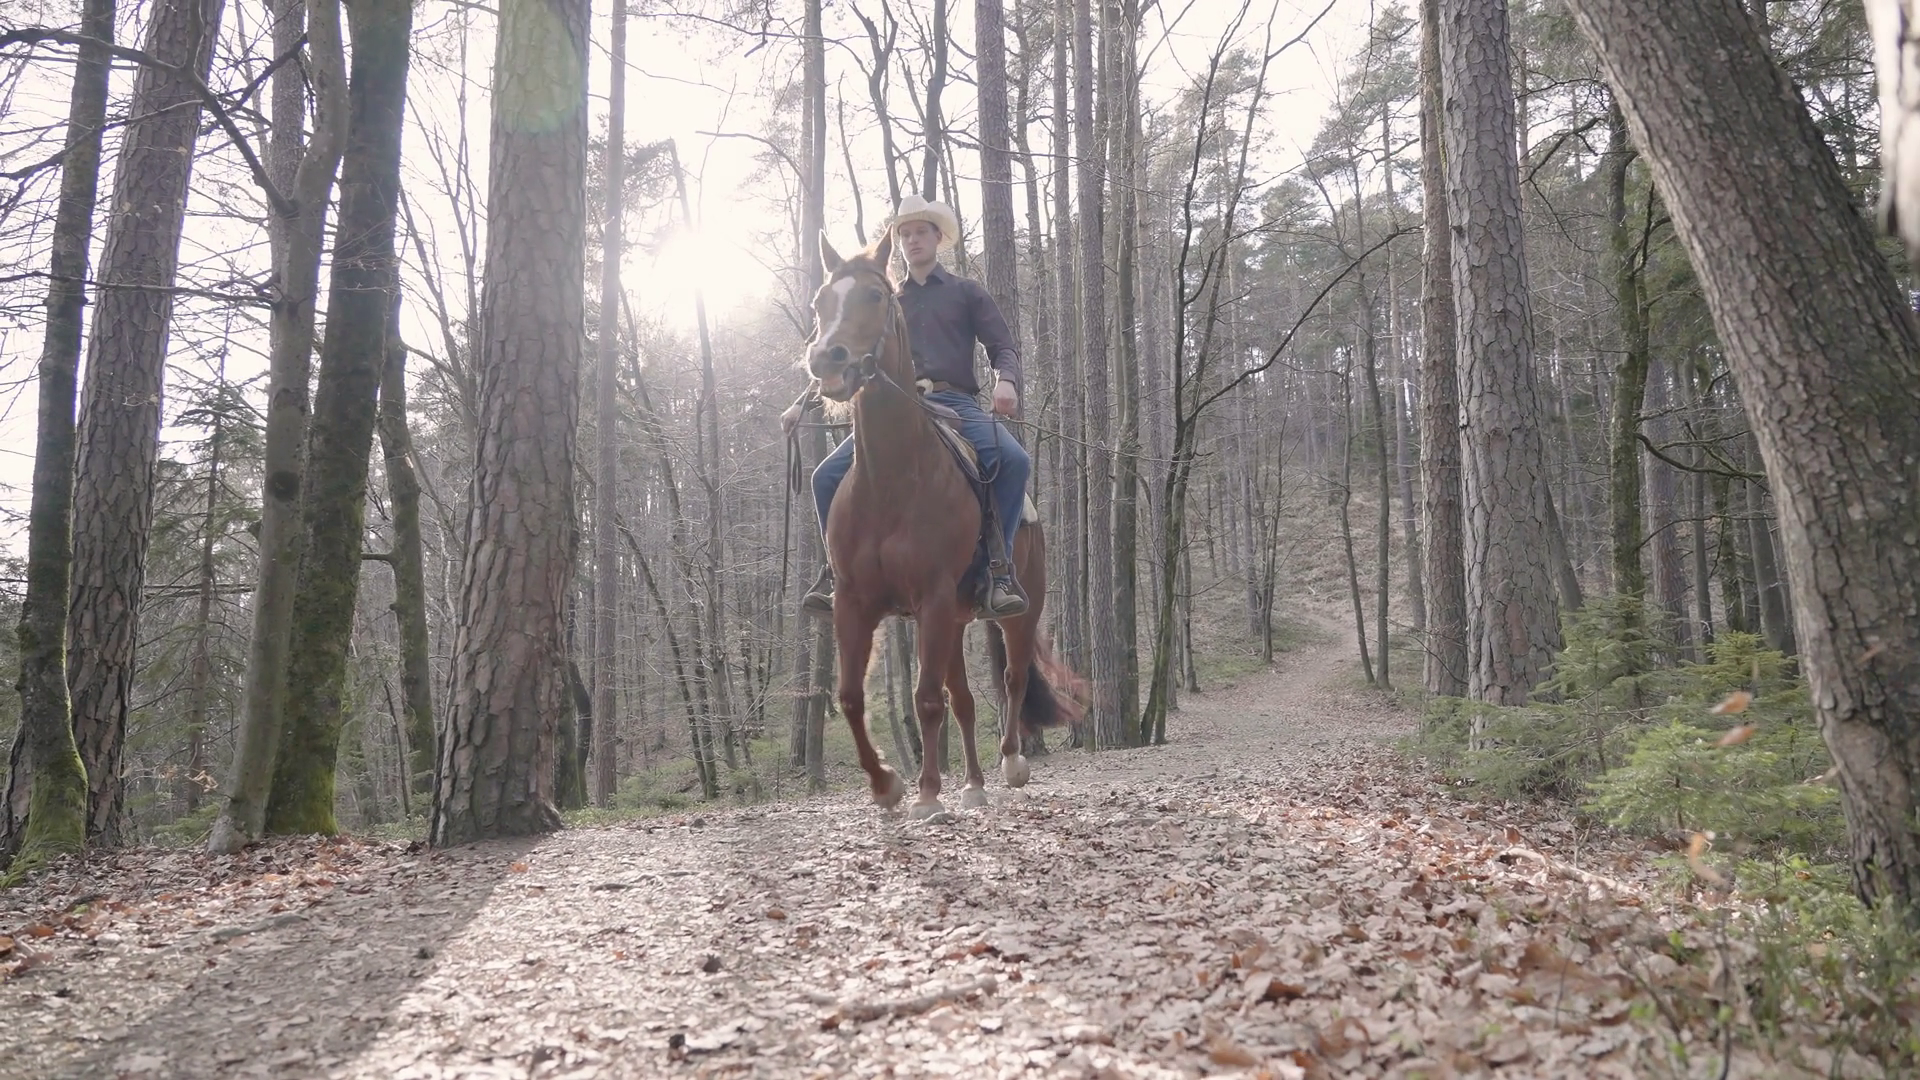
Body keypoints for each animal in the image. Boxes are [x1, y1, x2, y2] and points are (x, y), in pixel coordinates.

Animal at [802, 229, 1087, 818]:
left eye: (875, 296)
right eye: (819, 302)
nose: (826, 360)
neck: (892, 479)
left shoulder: (930, 598)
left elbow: (926, 699)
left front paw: (929, 793)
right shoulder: (855, 602)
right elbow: (851, 696)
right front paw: (887, 784)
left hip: (1013, 612)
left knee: (1012, 677)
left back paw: (1010, 763)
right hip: (954, 621)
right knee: (966, 699)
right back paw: (974, 786)